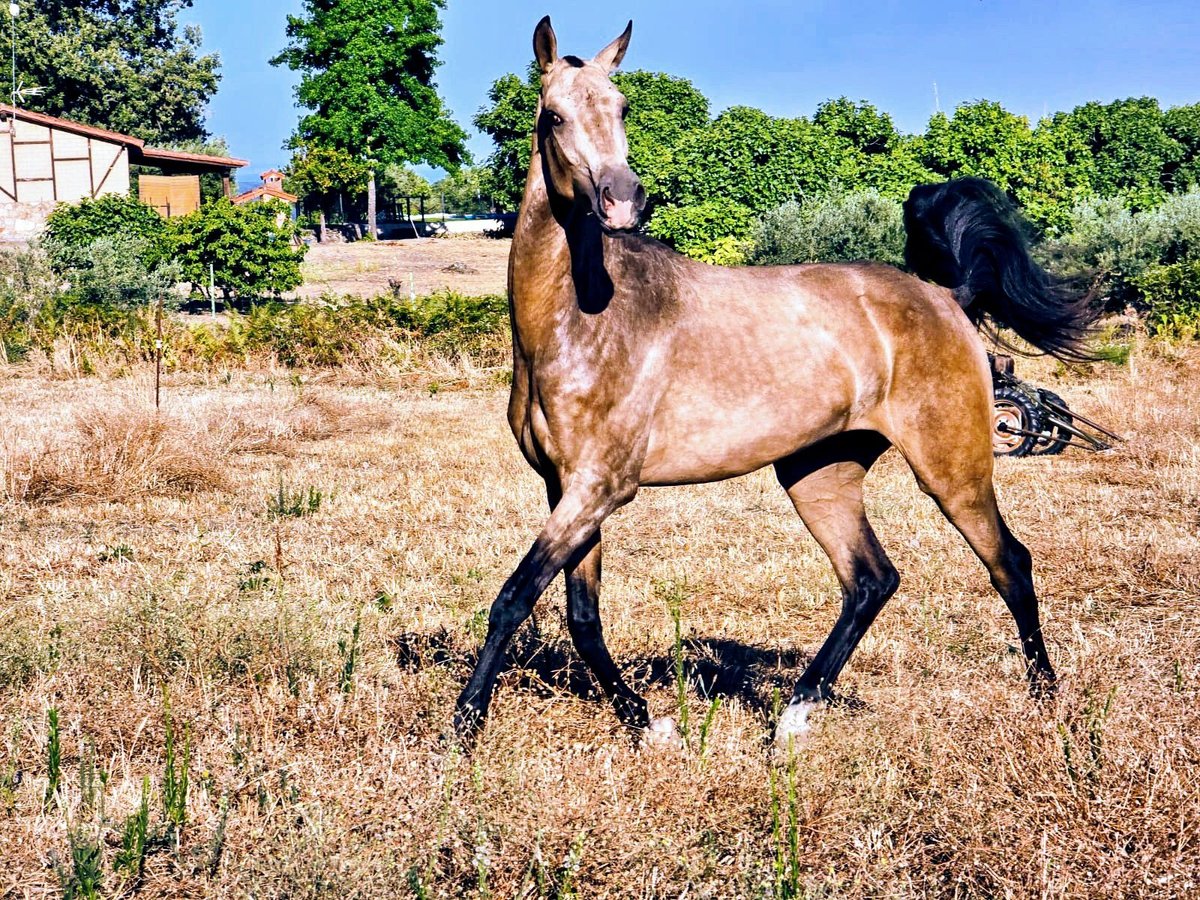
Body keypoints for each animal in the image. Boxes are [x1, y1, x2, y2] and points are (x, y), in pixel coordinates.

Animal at [452, 17, 1094, 750]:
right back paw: (793, 715)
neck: (583, 320)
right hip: (818, 474)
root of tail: (946, 297)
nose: (622, 200)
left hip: (952, 469)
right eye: (554, 115)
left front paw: (464, 726)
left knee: (1009, 564)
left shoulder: (600, 487)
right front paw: (647, 723)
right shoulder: (566, 488)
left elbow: (513, 598)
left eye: (622, 108)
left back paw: (1046, 701)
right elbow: (581, 615)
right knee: (871, 579)